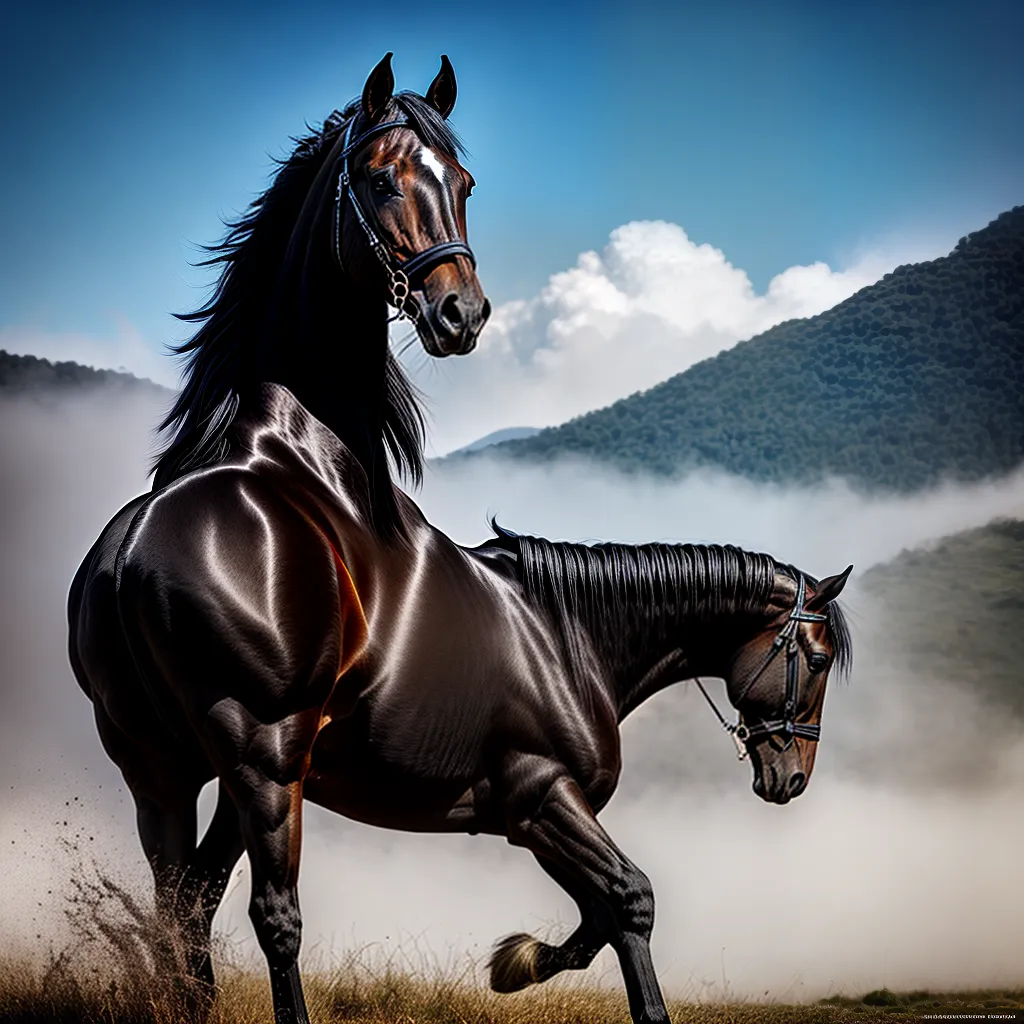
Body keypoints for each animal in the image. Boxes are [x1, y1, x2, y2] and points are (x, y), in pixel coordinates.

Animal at [67, 51, 487, 1016]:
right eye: (380, 179)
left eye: (464, 184)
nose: (461, 314)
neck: (308, 450)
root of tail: (127, 567)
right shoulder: (277, 750)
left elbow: (196, 894)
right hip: (260, 755)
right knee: (274, 917)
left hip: (158, 766)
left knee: (181, 910)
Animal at [71, 380, 852, 1023]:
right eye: (816, 660)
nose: (791, 778)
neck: (564, 636)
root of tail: (136, 545)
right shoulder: (542, 800)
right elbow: (630, 899)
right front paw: (528, 964)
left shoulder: (533, 817)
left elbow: (601, 915)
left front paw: (519, 962)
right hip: (261, 771)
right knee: (270, 913)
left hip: (180, 776)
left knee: (187, 897)